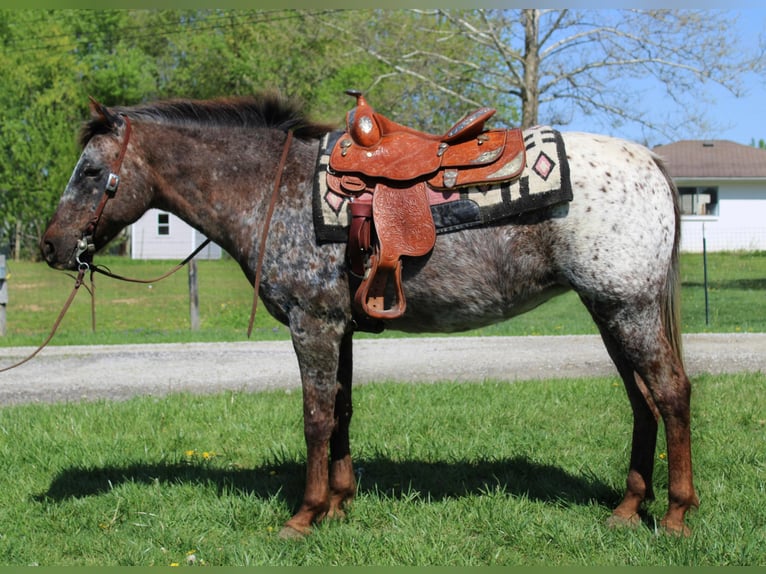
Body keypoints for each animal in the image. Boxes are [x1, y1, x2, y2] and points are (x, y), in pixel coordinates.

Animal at [42, 93, 704, 540]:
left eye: (91, 172)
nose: (52, 246)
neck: (272, 191)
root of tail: (650, 161)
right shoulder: (340, 327)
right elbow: (341, 412)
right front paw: (339, 503)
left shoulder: (311, 324)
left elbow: (314, 416)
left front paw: (304, 515)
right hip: (609, 310)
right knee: (643, 401)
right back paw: (627, 510)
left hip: (628, 307)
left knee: (670, 393)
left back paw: (675, 515)